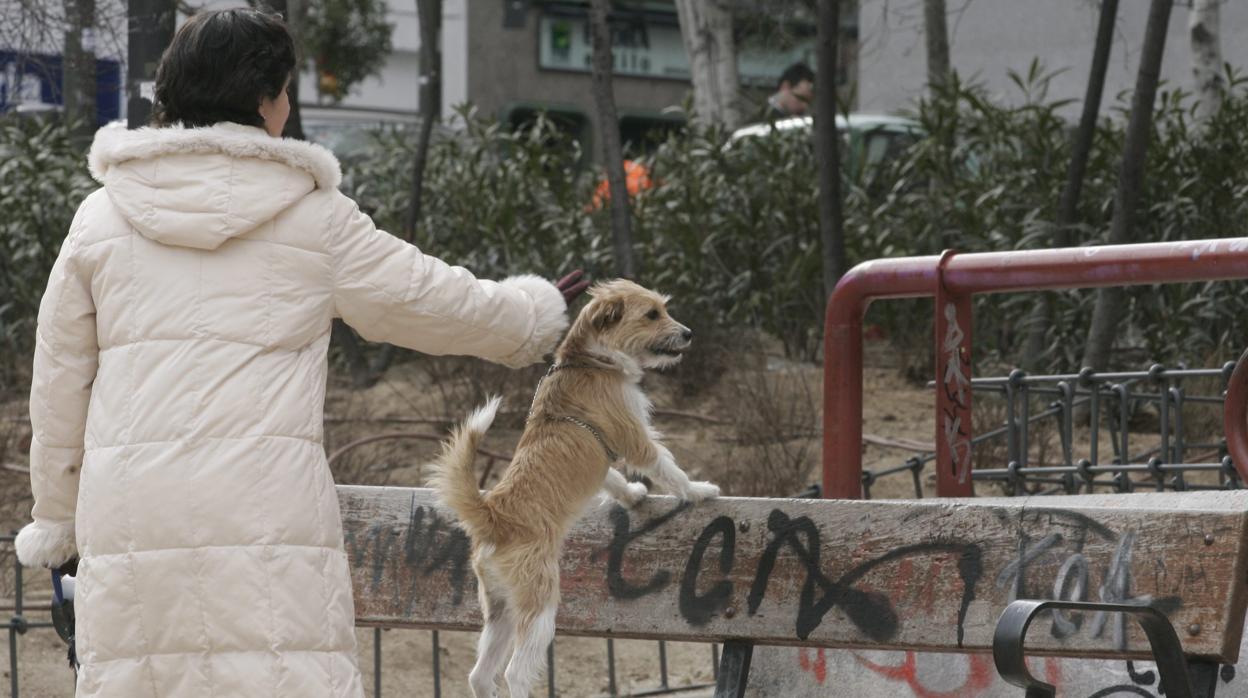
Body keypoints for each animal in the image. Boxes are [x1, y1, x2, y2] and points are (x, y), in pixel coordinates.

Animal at [431, 279, 718, 698]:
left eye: (663, 309)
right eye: (652, 314)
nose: (689, 333)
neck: (592, 360)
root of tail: (494, 515)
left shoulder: (605, 456)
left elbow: (612, 479)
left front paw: (633, 495)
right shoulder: (636, 439)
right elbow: (669, 469)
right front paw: (698, 490)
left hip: (501, 609)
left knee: (480, 675)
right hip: (539, 606)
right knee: (516, 673)